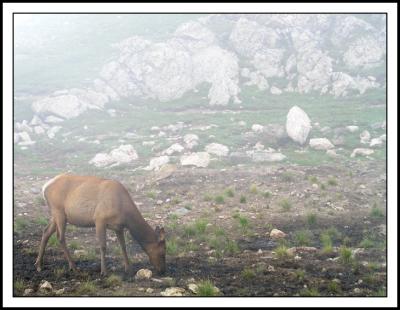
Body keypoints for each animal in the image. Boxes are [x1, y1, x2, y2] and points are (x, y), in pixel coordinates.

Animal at [34, 174, 166, 276]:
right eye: (163, 252)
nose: (162, 270)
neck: (124, 211)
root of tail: (45, 187)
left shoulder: (119, 227)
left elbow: (123, 246)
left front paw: (128, 268)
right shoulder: (99, 219)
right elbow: (103, 246)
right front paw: (104, 271)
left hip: (56, 214)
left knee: (46, 232)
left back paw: (38, 264)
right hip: (59, 211)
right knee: (60, 237)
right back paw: (73, 267)